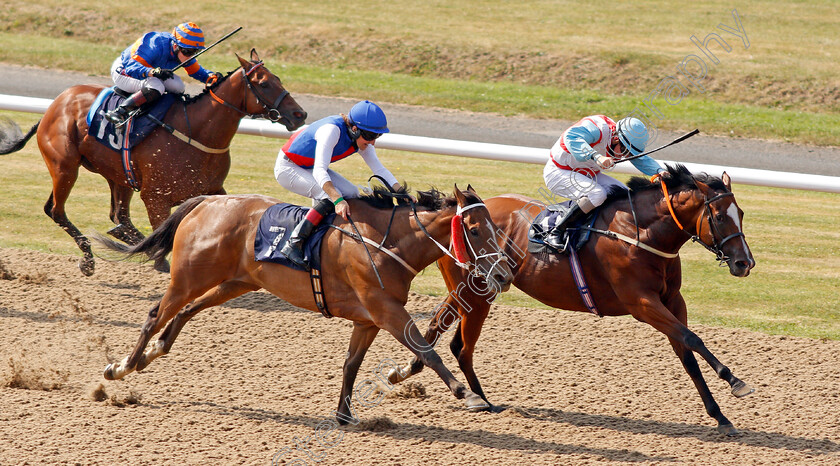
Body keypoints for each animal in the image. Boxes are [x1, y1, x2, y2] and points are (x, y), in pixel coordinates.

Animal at [0, 50, 308, 276]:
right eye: (264, 83)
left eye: (279, 78)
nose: (300, 114)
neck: (196, 132)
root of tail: (54, 104)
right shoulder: (155, 197)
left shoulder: (213, 191)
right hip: (64, 166)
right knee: (56, 210)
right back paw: (88, 258)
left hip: (118, 176)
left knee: (119, 218)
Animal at [92, 185, 512, 422]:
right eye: (476, 230)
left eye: (497, 226)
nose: (506, 274)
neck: (386, 243)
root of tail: (206, 202)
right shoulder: (386, 310)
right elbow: (428, 351)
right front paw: (469, 396)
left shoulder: (369, 319)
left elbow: (350, 364)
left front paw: (344, 414)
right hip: (189, 278)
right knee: (154, 315)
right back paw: (121, 367)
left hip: (234, 283)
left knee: (183, 313)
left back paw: (150, 354)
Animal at [390, 166, 756, 436]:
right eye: (719, 217)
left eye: (741, 213)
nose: (744, 263)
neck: (641, 233)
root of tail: (458, 212)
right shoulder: (641, 303)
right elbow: (691, 338)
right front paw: (735, 381)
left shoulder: (672, 301)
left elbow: (687, 352)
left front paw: (720, 415)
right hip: (472, 290)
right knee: (451, 336)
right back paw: (424, 379)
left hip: (479, 293)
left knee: (453, 340)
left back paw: (465, 393)